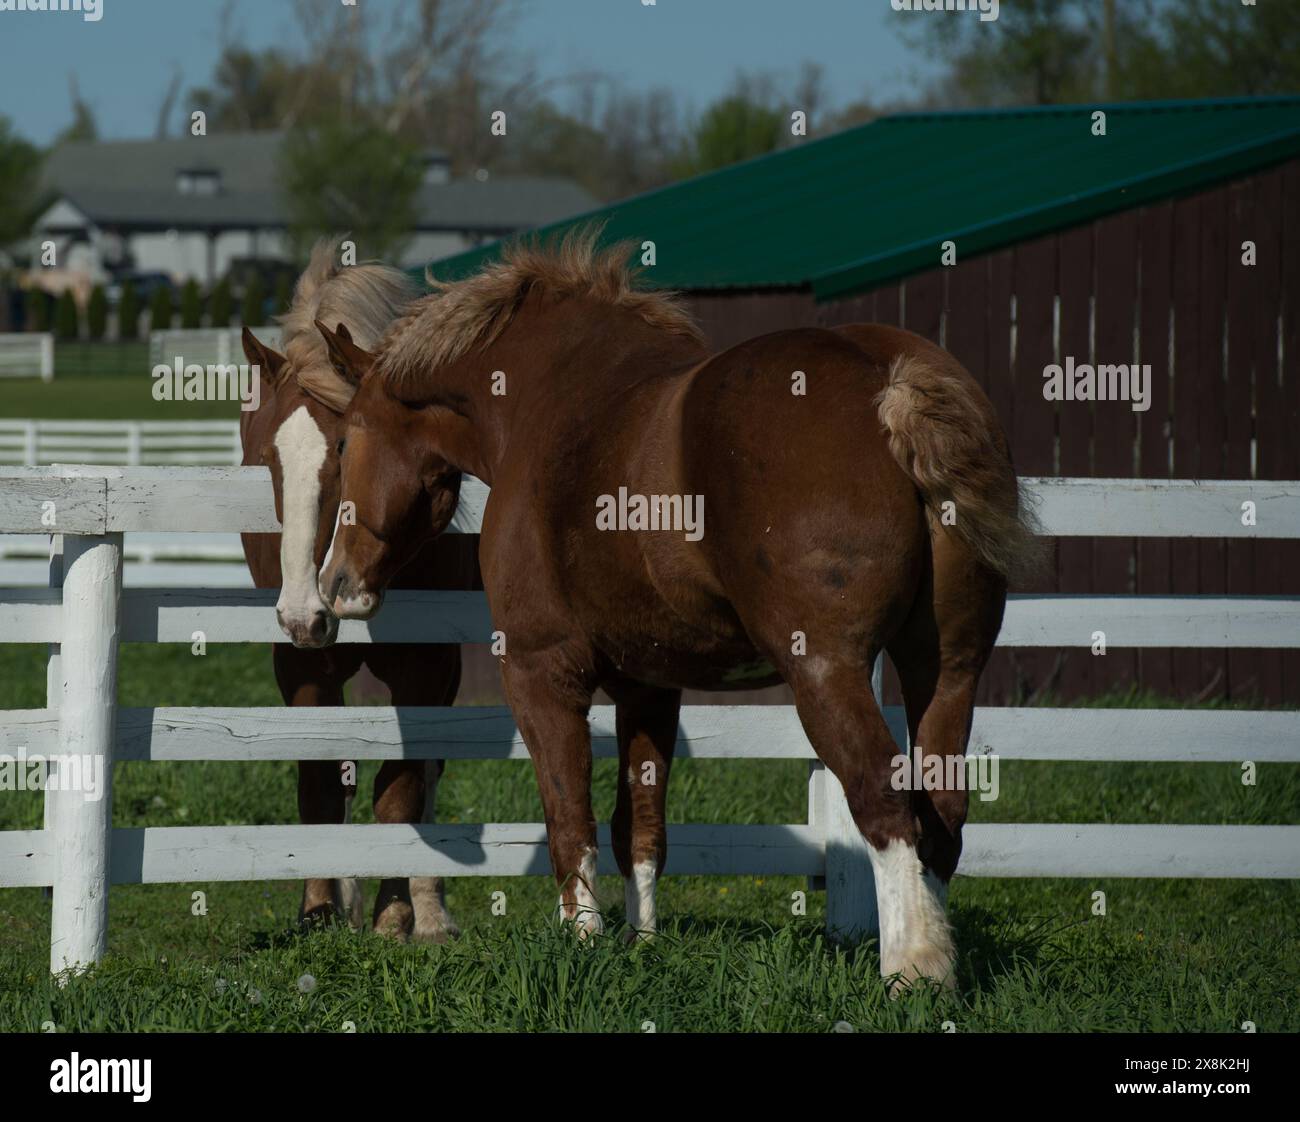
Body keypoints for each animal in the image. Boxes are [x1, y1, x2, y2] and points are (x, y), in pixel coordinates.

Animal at [239, 238, 477, 942]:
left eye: (346, 449)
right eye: (266, 458)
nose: (303, 611)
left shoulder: (429, 667)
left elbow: (402, 789)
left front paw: (398, 914)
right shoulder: (301, 666)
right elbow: (321, 783)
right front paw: (320, 907)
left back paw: (429, 909)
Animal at [312, 229, 1035, 989]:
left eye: (344, 440)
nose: (334, 583)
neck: (551, 400)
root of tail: (888, 379)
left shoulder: (540, 674)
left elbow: (570, 819)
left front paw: (584, 944)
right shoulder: (649, 685)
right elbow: (640, 828)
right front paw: (642, 946)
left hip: (826, 671)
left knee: (885, 801)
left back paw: (915, 969)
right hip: (947, 669)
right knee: (942, 811)